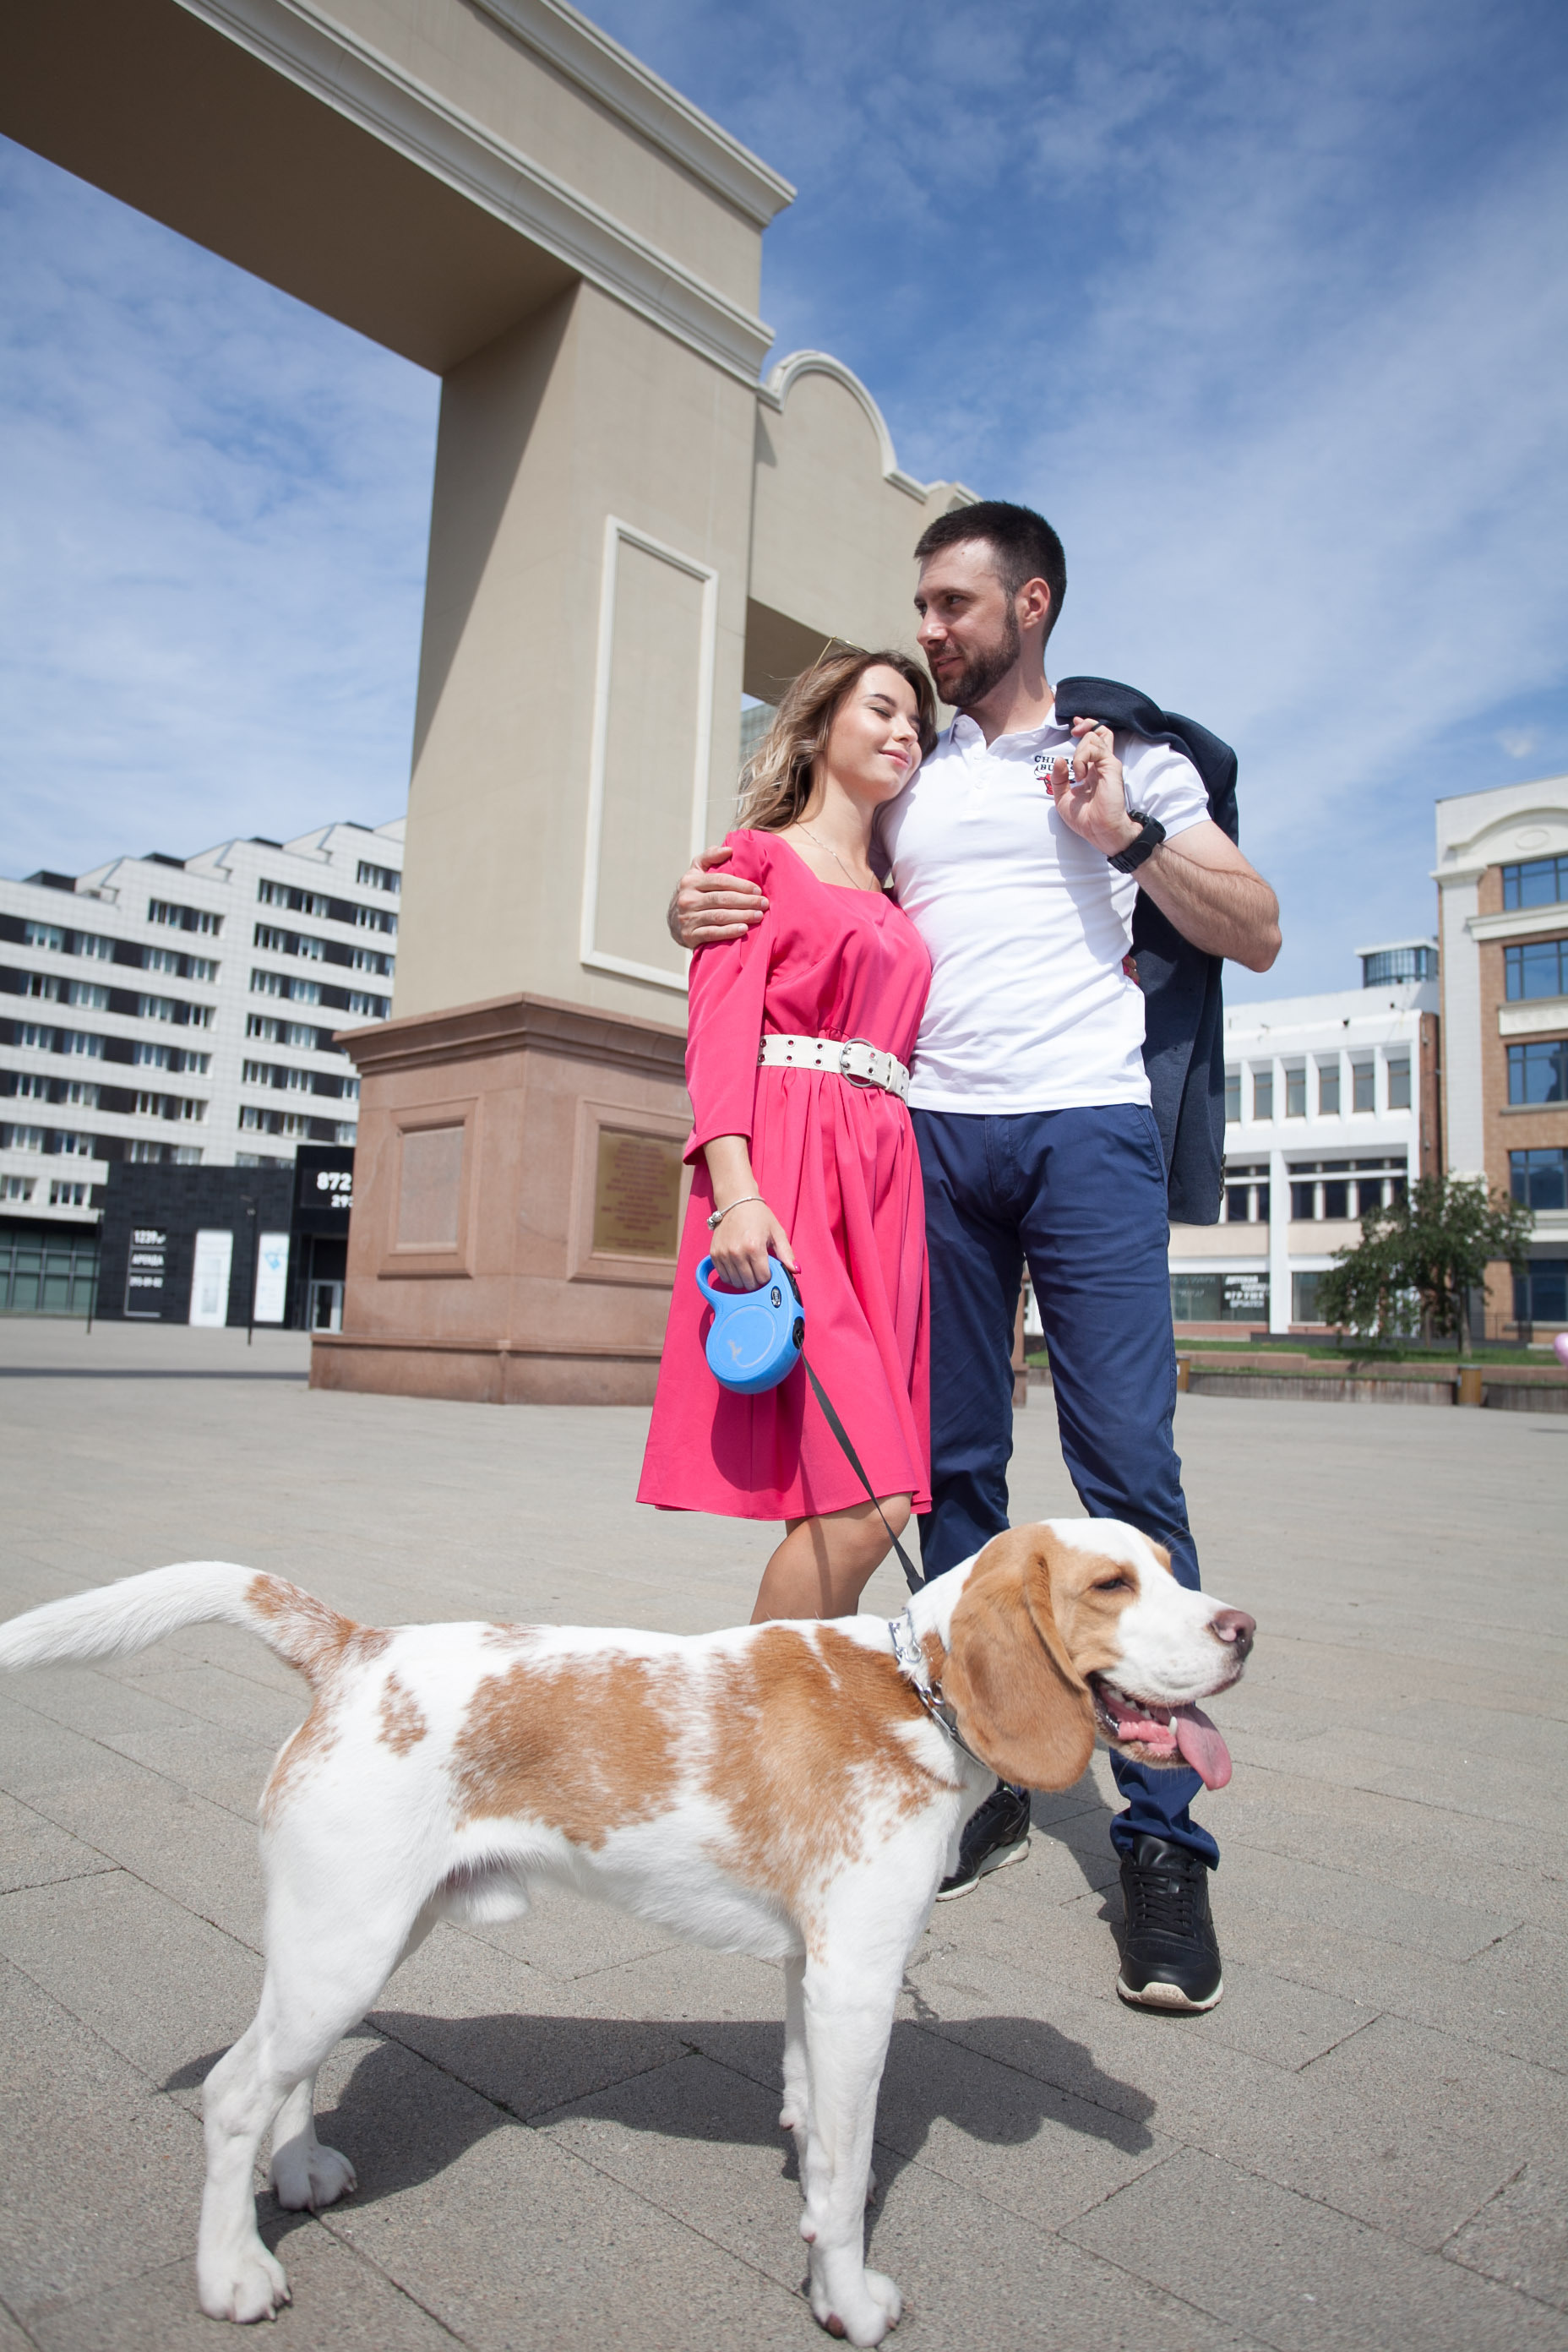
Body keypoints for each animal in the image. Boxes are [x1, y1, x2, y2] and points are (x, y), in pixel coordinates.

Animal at [0, 1520, 1253, 2345]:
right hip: (346, 1943)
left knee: (282, 2072)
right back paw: (232, 2275)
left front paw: (812, 2236)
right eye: (1111, 1583)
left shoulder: (811, 1974)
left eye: (1172, 1568)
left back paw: (301, 2170)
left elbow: (812, 2124)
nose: (1243, 1628)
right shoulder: (857, 1981)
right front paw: (848, 2302)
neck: (916, 1687)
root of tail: (356, 1646)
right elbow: (848, 2170)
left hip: (352, 1939)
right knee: (231, 2092)